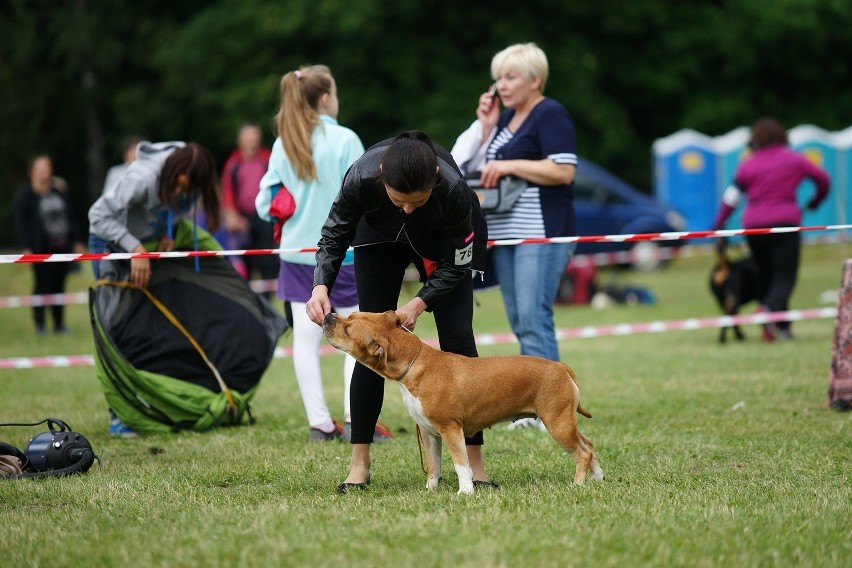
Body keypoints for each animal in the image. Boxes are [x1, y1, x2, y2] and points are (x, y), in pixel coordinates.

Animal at [322, 310, 604, 492]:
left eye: (348, 329)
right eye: (350, 316)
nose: (328, 316)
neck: (414, 363)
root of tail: (560, 367)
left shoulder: (450, 429)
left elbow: (461, 463)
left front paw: (465, 491)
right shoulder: (430, 434)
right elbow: (434, 465)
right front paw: (431, 490)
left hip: (557, 422)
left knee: (581, 452)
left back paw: (578, 484)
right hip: (563, 421)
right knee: (589, 445)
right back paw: (598, 478)